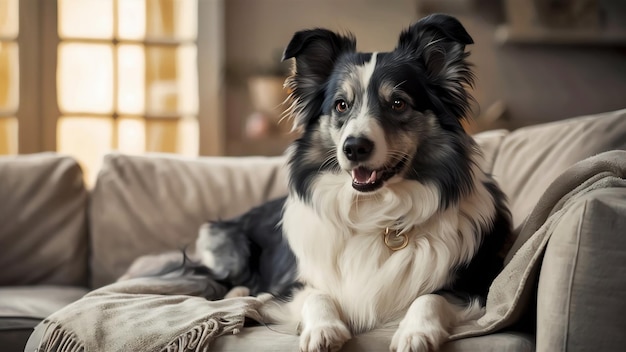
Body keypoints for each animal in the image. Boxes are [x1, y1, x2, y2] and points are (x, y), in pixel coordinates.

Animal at [197, 13, 510, 352]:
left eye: (398, 103)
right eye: (341, 105)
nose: (354, 147)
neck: (377, 214)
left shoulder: (474, 285)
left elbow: (430, 297)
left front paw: (416, 332)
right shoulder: (289, 288)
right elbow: (316, 294)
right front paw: (323, 329)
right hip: (231, 243)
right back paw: (237, 295)